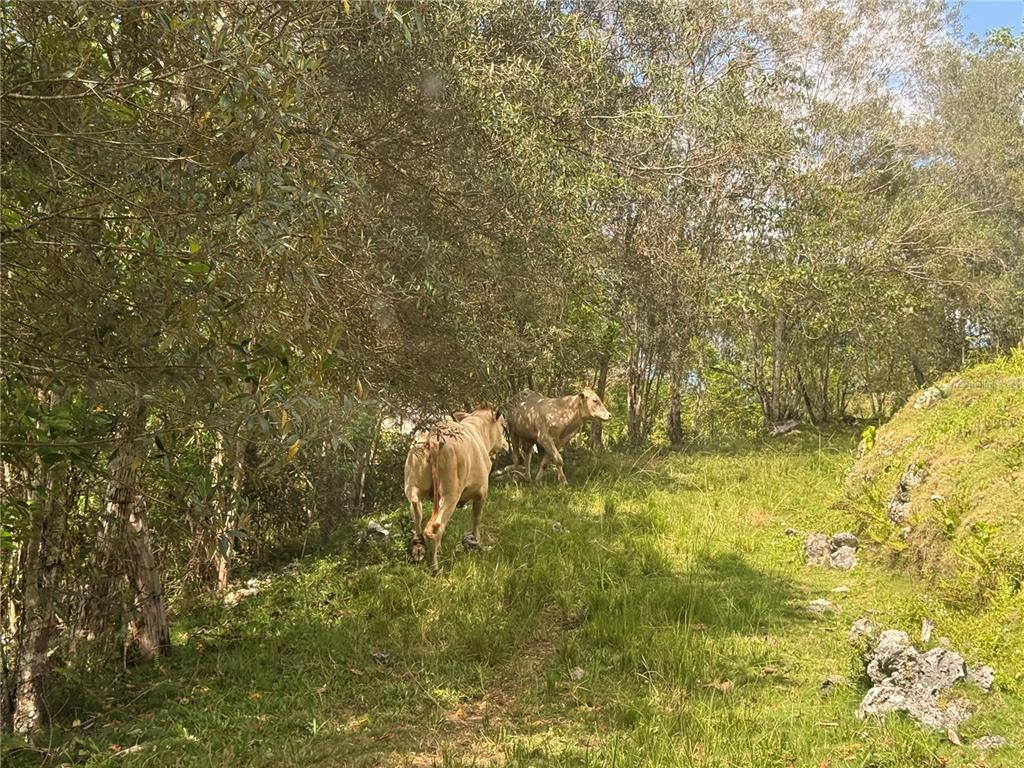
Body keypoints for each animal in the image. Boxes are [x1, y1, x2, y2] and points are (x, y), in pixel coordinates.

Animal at [404, 403, 509, 570]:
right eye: (503, 425)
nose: (506, 444)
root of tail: (434, 436)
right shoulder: (481, 493)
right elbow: (476, 520)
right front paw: (477, 543)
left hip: (413, 487)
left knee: (417, 514)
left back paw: (419, 549)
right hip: (450, 494)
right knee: (435, 529)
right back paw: (435, 568)